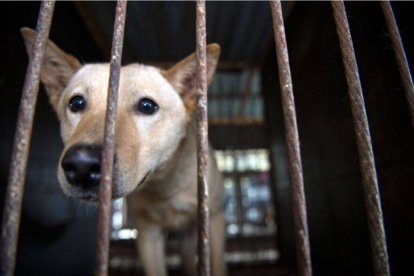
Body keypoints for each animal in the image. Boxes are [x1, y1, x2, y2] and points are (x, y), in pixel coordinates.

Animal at [21, 27, 228, 276]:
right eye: (76, 103)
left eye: (147, 106)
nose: (82, 165)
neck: (163, 186)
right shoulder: (148, 235)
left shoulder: (213, 219)